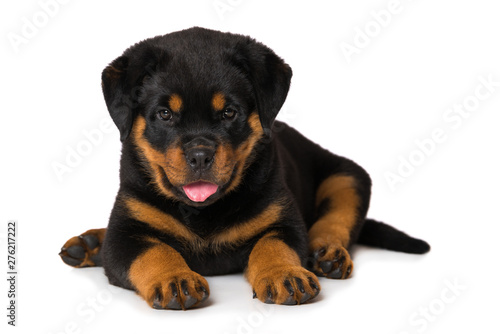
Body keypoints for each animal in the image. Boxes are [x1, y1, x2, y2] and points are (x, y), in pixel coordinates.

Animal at [60, 26, 430, 310]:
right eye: (164, 114)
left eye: (229, 112)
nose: (199, 155)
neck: (203, 212)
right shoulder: (126, 231)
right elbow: (153, 250)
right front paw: (174, 279)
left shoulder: (283, 219)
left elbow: (273, 244)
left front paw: (284, 274)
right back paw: (90, 244)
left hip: (346, 176)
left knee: (338, 217)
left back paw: (328, 253)